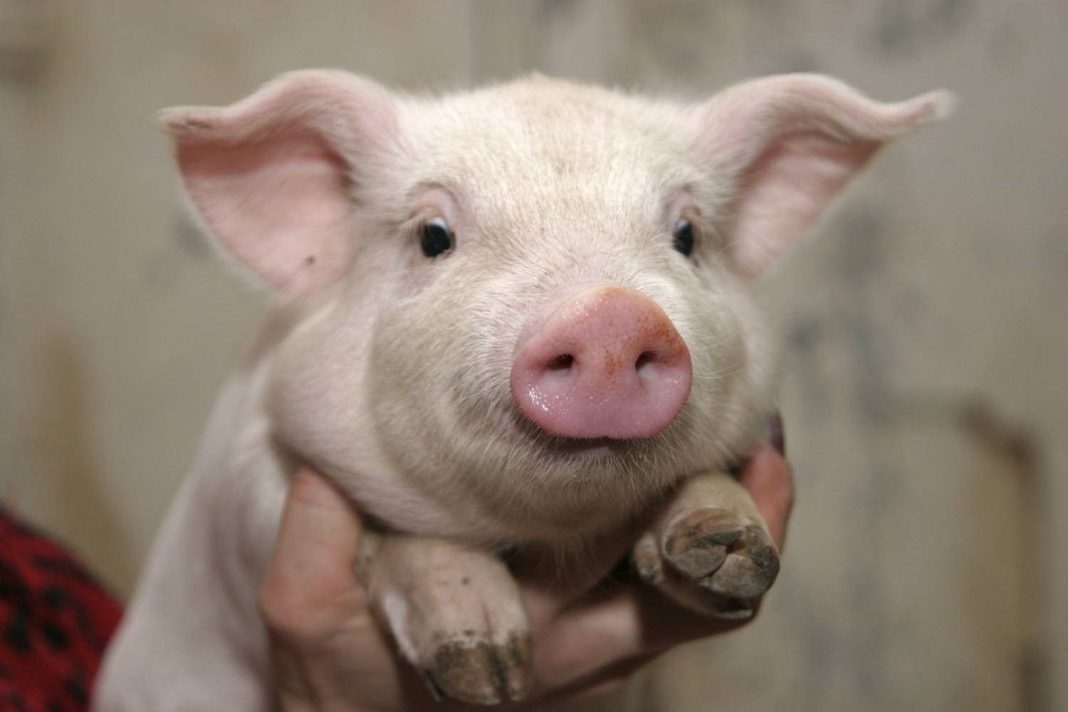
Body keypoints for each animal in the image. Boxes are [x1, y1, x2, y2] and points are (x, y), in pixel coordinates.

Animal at [93, 70, 952, 710]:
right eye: (433, 236)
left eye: (687, 236)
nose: (609, 314)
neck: (545, 536)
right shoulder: (252, 492)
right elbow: (393, 532)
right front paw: (487, 668)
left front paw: (725, 552)